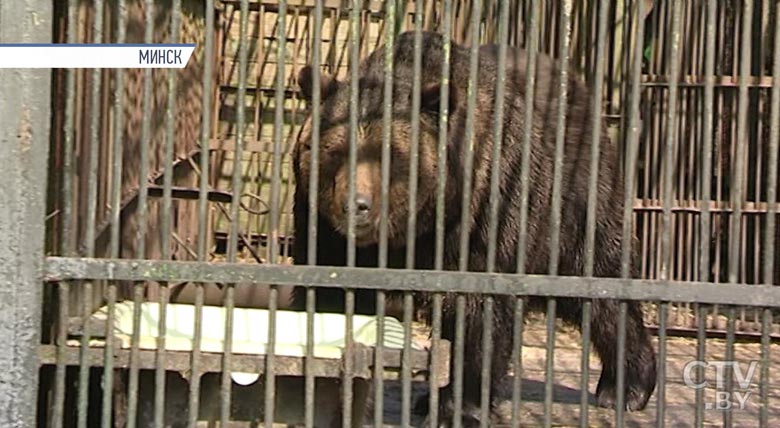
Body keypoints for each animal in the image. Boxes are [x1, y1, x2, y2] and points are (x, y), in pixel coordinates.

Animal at [290, 30, 656, 424]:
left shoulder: (483, 210)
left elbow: (480, 309)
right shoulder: (324, 228)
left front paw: (461, 407)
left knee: (599, 284)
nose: (355, 206)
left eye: (392, 156)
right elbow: (328, 294)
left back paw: (627, 388)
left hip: (574, 194)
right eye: (334, 151)